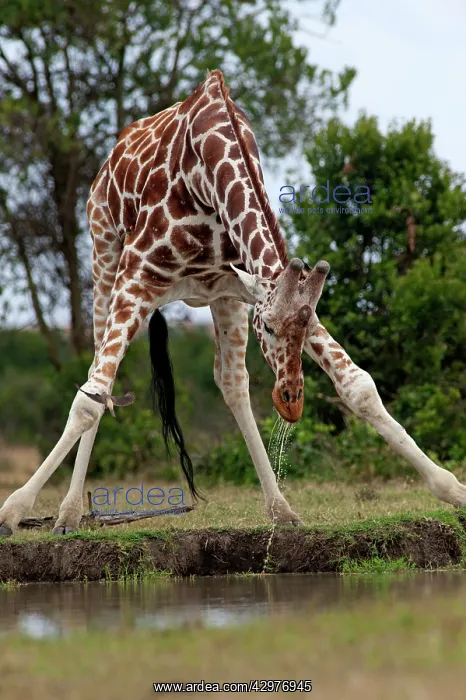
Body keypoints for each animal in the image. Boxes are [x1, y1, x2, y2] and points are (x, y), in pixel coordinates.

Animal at [1, 69, 466, 536]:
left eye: (303, 326)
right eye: (270, 326)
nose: (291, 400)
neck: (206, 174)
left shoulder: (252, 287)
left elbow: (360, 386)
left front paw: (453, 489)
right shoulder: (136, 279)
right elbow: (88, 400)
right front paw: (14, 510)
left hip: (222, 299)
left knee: (231, 382)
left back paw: (281, 509)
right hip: (104, 259)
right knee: (100, 378)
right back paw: (68, 513)